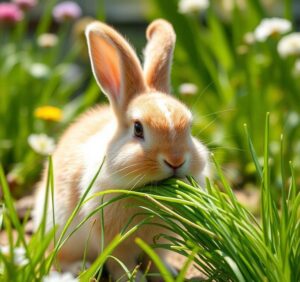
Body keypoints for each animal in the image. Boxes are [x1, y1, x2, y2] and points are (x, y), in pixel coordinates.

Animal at [33, 18, 209, 280]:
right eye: (138, 128)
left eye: (189, 126)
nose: (175, 161)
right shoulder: (115, 241)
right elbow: (120, 261)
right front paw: (132, 278)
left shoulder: (158, 243)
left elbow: (156, 259)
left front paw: (166, 273)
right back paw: (78, 269)